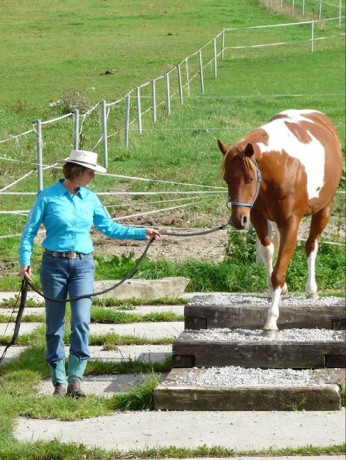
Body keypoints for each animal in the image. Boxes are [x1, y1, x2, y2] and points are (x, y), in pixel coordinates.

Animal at [219, 111, 344, 334]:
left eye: (250, 178)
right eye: (227, 179)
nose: (239, 220)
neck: (282, 166)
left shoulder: (291, 223)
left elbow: (279, 271)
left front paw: (271, 320)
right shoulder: (258, 217)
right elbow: (268, 252)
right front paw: (272, 290)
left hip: (323, 210)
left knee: (311, 246)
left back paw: (311, 289)